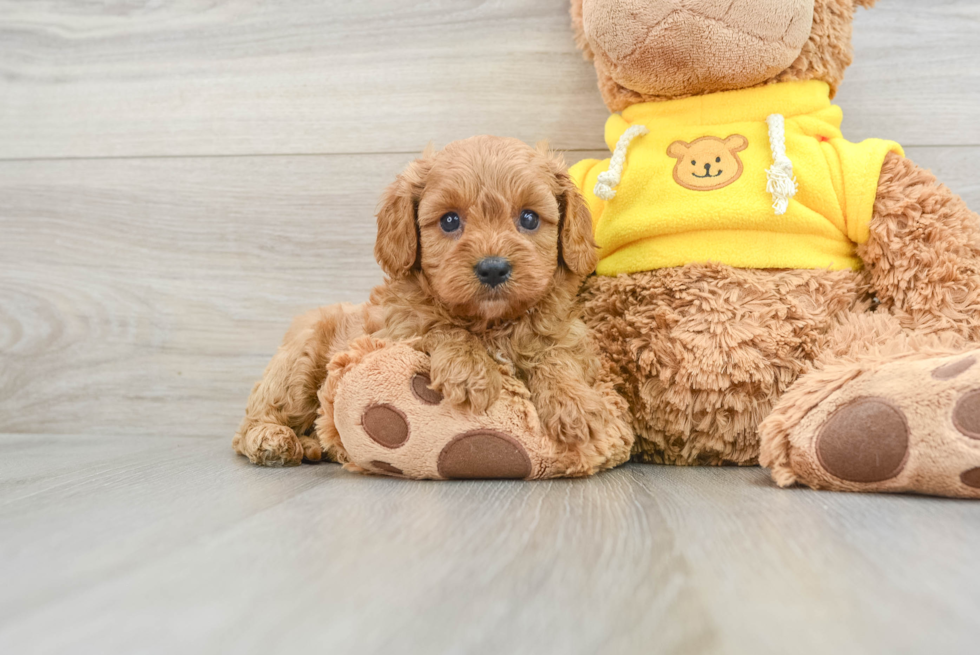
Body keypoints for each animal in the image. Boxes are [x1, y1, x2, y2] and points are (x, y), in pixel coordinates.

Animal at [234, 136, 608, 466]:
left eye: (529, 218)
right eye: (449, 220)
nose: (493, 268)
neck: (490, 323)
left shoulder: (566, 335)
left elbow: (555, 356)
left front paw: (573, 403)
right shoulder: (399, 330)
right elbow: (439, 326)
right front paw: (469, 369)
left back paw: (313, 445)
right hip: (299, 361)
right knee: (255, 422)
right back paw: (274, 440)